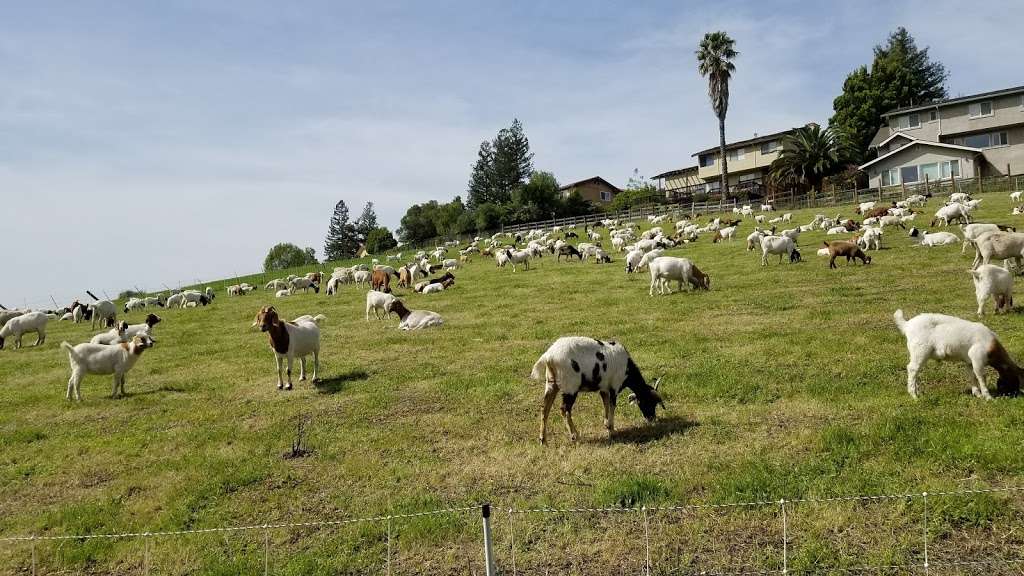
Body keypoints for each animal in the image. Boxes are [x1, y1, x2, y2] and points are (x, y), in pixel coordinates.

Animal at [528, 334, 663, 440]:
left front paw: (607, 425)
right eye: (649, 402)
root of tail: (549, 356)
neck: (627, 368)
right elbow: (612, 406)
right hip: (570, 387)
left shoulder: (604, 388)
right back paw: (575, 436)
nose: (652, 419)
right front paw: (612, 430)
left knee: (545, 409)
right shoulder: (614, 387)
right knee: (564, 409)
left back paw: (543, 440)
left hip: (551, 384)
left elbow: (606, 404)